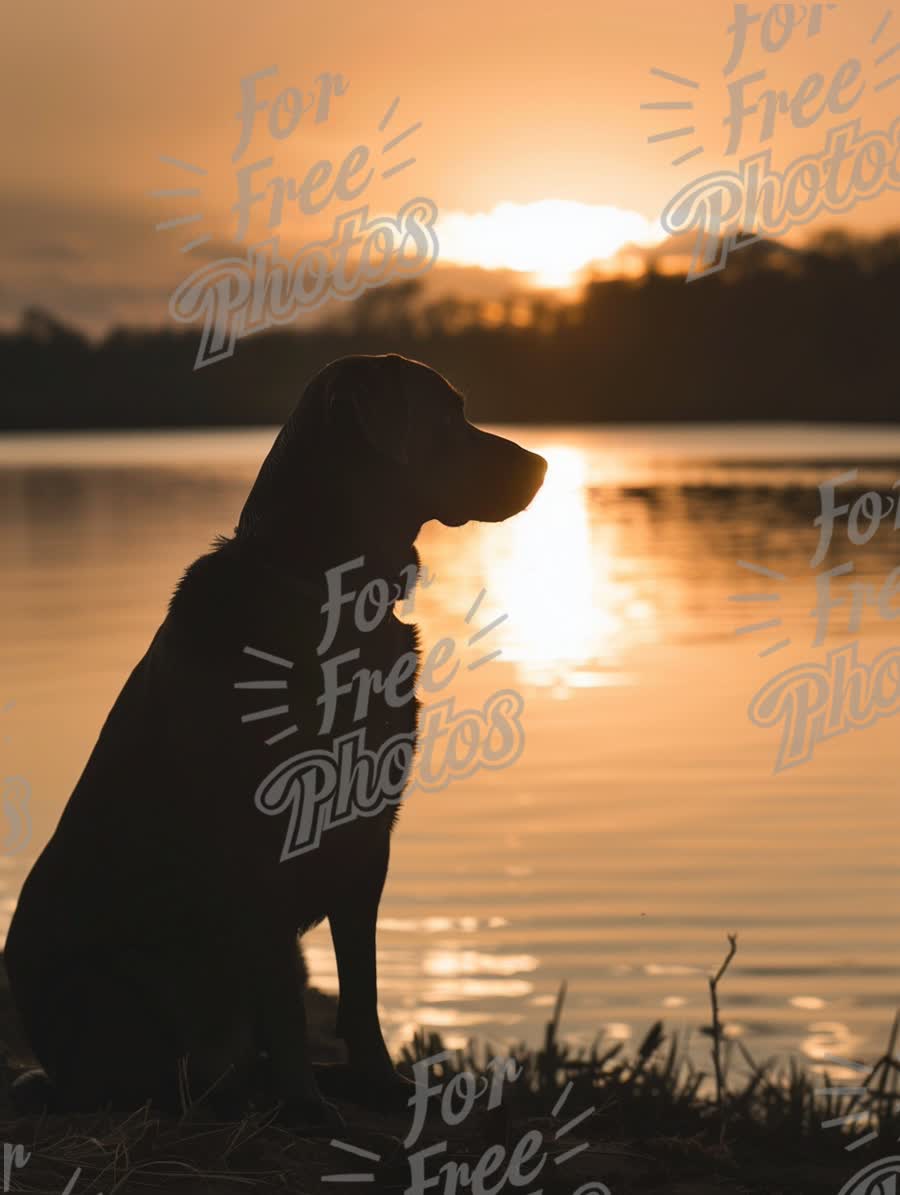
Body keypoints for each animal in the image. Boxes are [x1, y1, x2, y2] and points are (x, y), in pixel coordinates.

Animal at [5, 351, 547, 1118]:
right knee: (172, 1077)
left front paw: (378, 1083)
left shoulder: (367, 835)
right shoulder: (264, 838)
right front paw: (307, 1106)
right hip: (124, 984)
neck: (326, 589)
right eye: (448, 415)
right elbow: (290, 1001)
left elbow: (361, 988)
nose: (543, 465)